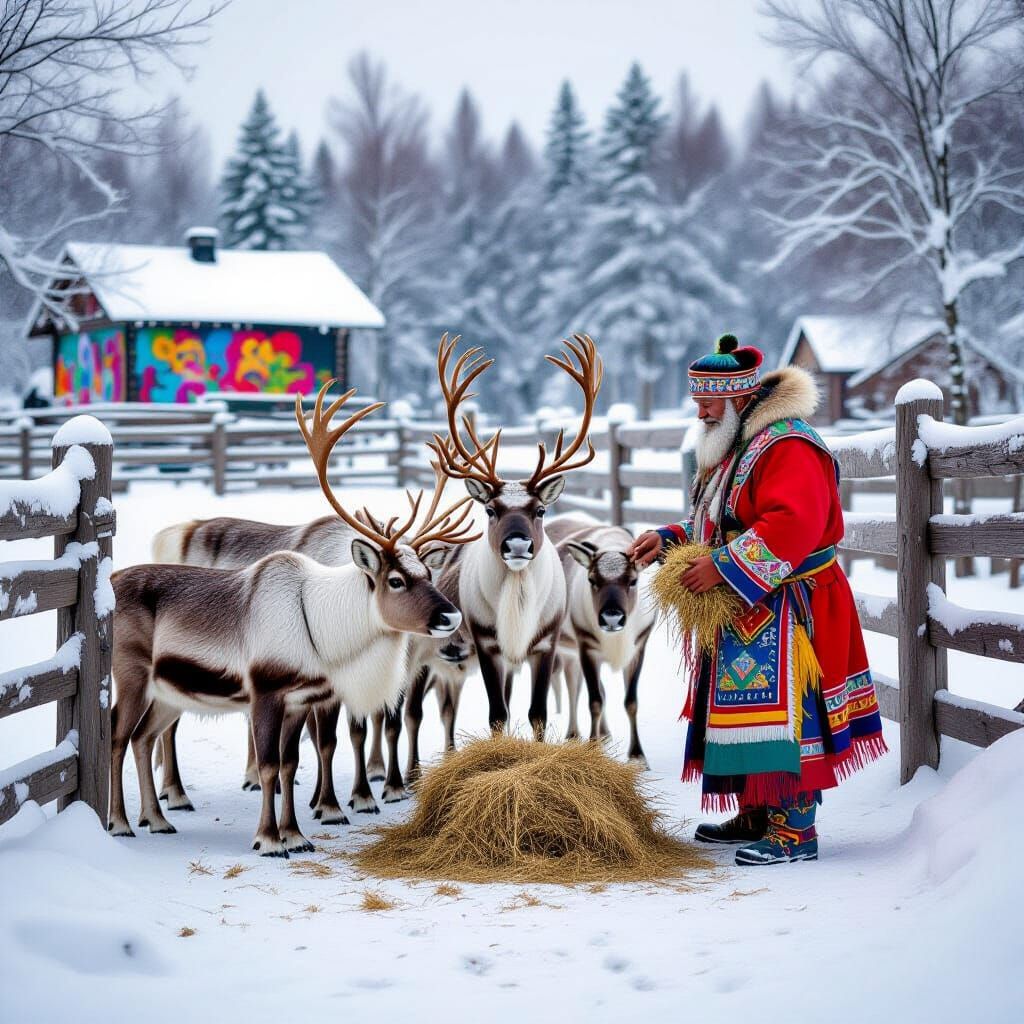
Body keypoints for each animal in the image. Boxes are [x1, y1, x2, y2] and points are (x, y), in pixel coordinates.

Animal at [108, 382, 479, 856]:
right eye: (395, 580)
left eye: (428, 574)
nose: (451, 618)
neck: (321, 629)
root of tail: (112, 580)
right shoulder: (268, 693)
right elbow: (273, 765)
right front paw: (271, 838)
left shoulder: (301, 700)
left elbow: (290, 763)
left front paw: (297, 834)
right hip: (132, 674)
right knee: (119, 736)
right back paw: (121, 822)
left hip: (169, 691)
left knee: (145, 737)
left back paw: (156, 817)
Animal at [428, 332, 603, 738]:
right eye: (490, 511)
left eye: (540, 510)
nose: (518, 543)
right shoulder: (485, 641)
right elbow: (497, 713)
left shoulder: (547, 641)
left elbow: (537, 711)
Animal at [546, 515, 657, 767]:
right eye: (592, 579)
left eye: (633, 581)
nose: (611, 617)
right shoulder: (586, 646)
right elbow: (594, 701)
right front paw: (592, 747)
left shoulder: (638, 647)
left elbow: (630, 702)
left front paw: (637, 755)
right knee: (574, 688)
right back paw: (574, 734)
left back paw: (603, 733)